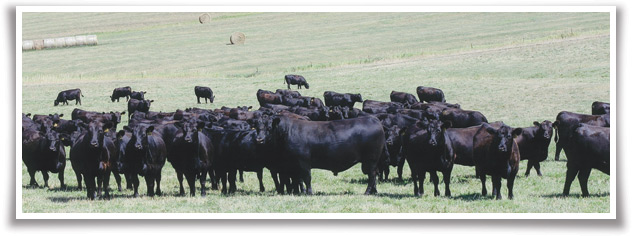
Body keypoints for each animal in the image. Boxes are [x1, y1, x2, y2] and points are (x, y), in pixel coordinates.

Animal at [258, 115, 386, 195]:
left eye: (269, 128)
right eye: (258, 128)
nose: (259, 139)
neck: (288, 132)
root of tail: (374, 119)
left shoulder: (303, 162)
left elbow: (307, 178)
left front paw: (309, 193)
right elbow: (298, 179)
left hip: (371, 160)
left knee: (372, 175)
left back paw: (367, 192)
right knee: (374, 175)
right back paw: (374, 191)